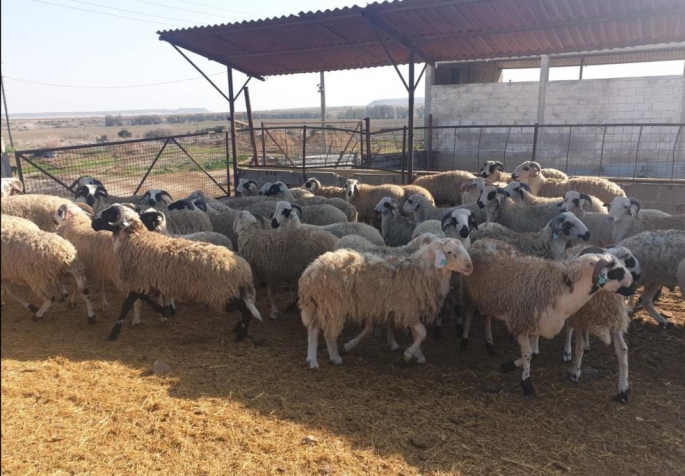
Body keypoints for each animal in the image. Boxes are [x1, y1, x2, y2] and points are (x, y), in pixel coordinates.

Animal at [91, 205, 262, 342]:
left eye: (109, 215)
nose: (93, 223)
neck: (136, 238)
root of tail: (243, 269)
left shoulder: (138, 281)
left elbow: (126, 306)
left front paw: (113, 334)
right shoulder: (146, 281)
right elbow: (145, 299)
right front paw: (165, 312)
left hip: (221, 293)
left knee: (245, 309)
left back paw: (240, 335)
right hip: (226, 292)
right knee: (245, 308)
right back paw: (238, 329)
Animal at [302, 237, 472, 368]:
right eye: (449, 252)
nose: (470, 266)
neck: (422, 272)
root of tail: (311, 271)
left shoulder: (411, 311)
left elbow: (417, 334)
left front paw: (418, 356)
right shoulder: (406, 310)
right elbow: (422, 332)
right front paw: (408, 354)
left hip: (323, 304)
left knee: (313, 327)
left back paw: (312, 360)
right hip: (333, 305)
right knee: (328, 333)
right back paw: (334, 357)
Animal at [462, 238, 632, 398]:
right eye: (615, 271)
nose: (632, 286)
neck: (562, 289)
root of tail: (483, 240)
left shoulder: (538, 324)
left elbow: (534, 353)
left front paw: (510, 365)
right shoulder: (521, 322)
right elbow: (528, 354)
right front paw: (527, 385)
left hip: (489, 299)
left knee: (486, 318)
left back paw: (489, 345)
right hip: (471, 294)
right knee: (469, 313)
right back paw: (464, 339)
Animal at [560, 244, 644, 404]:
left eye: (624, 263)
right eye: (616, 271)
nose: (634, 285)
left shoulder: (615, 320)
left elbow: (622, 350)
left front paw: (623, 388)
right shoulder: (580, 318)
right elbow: (578, 347)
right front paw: (575, 372)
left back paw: (587, 344)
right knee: (569, 329)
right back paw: (567, 351)